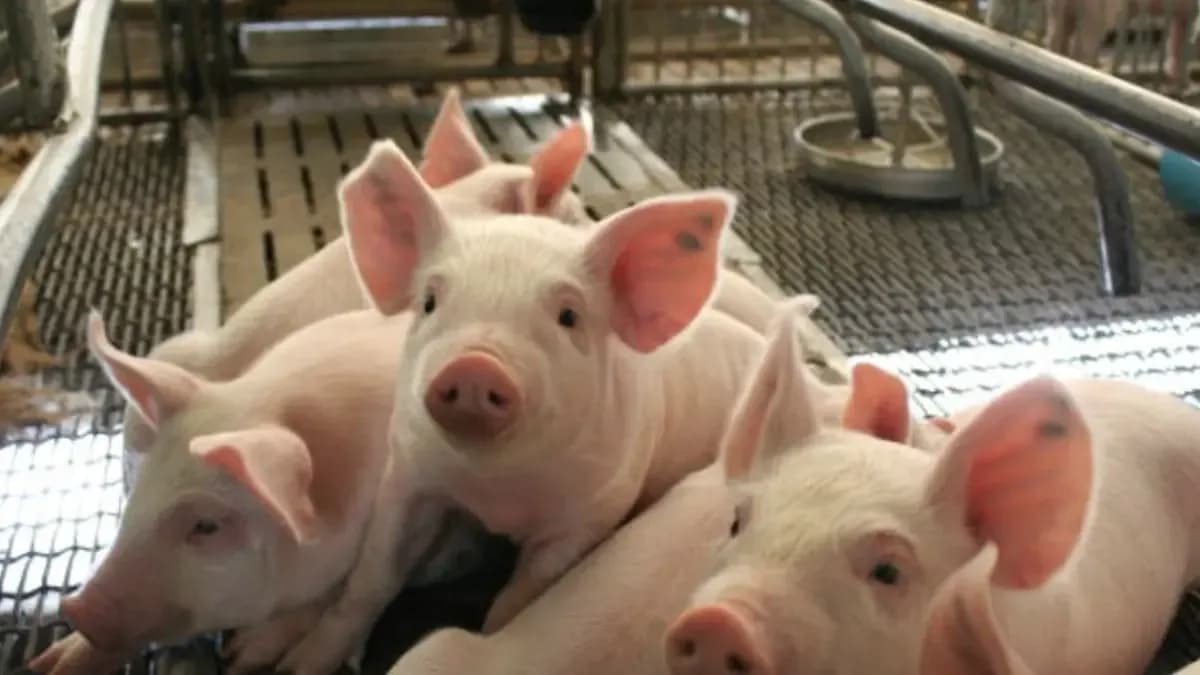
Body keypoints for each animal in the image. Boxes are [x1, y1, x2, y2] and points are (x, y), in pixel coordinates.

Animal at [30, 308, 481, 675]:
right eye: (138, 493)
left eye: (206, 525)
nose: (77, 607)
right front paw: (50, 665)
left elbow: (354, 587)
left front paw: (258, 661)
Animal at [264, 136, 806, 675]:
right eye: (430, 301)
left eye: (568, 316)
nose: (475, 365)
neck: (493, 491)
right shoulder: (408, 474)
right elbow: (372, 578)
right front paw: (294, 667)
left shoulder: (589, 516)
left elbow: (513, 603)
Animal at [1043, 0, 1199, 91]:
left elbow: (1176, 40)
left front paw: (1183, 83)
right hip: (1095, 13)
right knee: (1082, 46)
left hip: (1058, 11)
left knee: (1057, 36)